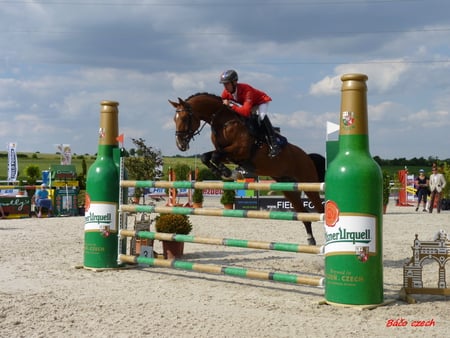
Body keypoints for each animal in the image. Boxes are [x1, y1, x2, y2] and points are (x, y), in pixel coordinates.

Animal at [171, 92, 326, 246]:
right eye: (174, 119)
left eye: (185, 118)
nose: (180, 145)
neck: (224, 122)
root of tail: (307, 156)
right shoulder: (227, 155)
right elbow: (206, 157)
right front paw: (225, 172)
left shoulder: (239, 150)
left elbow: (214, 156)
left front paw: (229, 173)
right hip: (288, 187)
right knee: (303, 212)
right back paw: (310, 239)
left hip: (308, 184)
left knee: (320, 209)